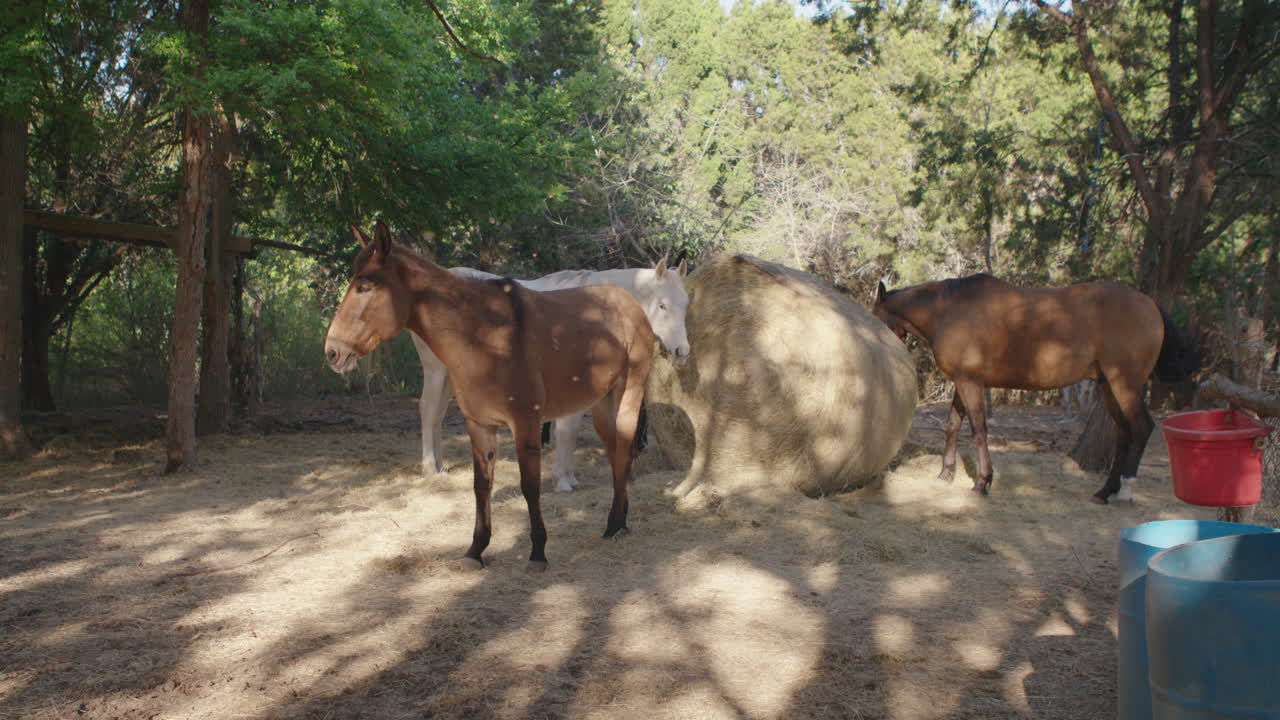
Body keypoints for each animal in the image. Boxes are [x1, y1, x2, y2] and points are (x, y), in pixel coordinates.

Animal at [324, 221, 656, 571]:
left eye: (365, 286)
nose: (333, 351)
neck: (484, 334)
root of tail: (631, 304)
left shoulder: (525, 423)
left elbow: (529, 486)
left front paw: (537, 551)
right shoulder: (479, 424)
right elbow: (481, 485)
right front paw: (476, 549)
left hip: (629, 393)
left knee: (624, 450)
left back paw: (616, 523)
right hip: (602, 403)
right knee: (615, 452)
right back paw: (616, 523)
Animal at [413, 261, 689, 492]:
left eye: (686, 303)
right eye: (662, 305)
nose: (682, 351)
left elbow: (572, 431)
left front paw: (570, 477)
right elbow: (566, 431)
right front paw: (562, 482)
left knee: (437, 415)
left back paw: (440, 466)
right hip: (437, 370)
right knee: (428, 410)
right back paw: (429, 468)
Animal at [871, 273, 1197, 503]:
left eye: (875, 317)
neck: (949, 310)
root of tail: (1149, 303)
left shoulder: (970, 382)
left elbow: (978, 430)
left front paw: (983, 481)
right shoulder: (964, 382)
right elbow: (952, 425)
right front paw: (946, 473)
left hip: (1124, 383)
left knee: (1141, 428)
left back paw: (1126, 490)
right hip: (1108, 386)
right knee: (1124, 433)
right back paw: (1104, 492)